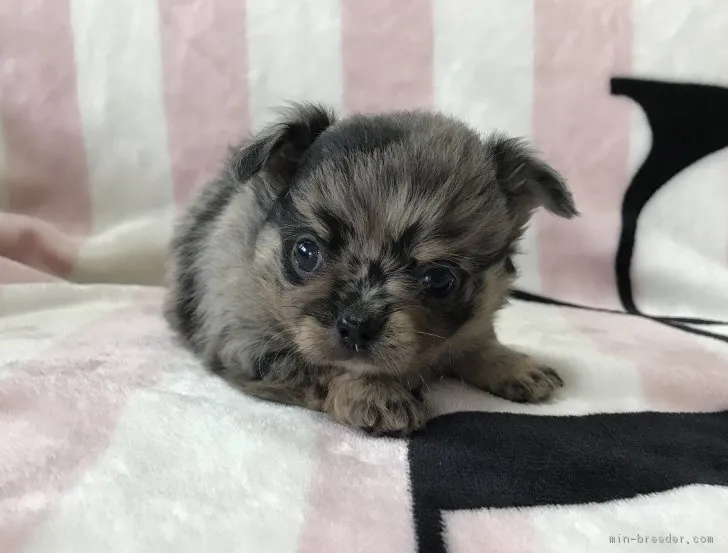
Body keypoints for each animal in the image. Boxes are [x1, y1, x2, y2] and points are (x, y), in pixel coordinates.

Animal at [162, 101, 576, 434]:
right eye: (306, 253)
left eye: (440, 280)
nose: (357, 325)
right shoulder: (249, 345)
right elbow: (326, 365)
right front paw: (375, 393)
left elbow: (476, 342)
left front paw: (513, 364)